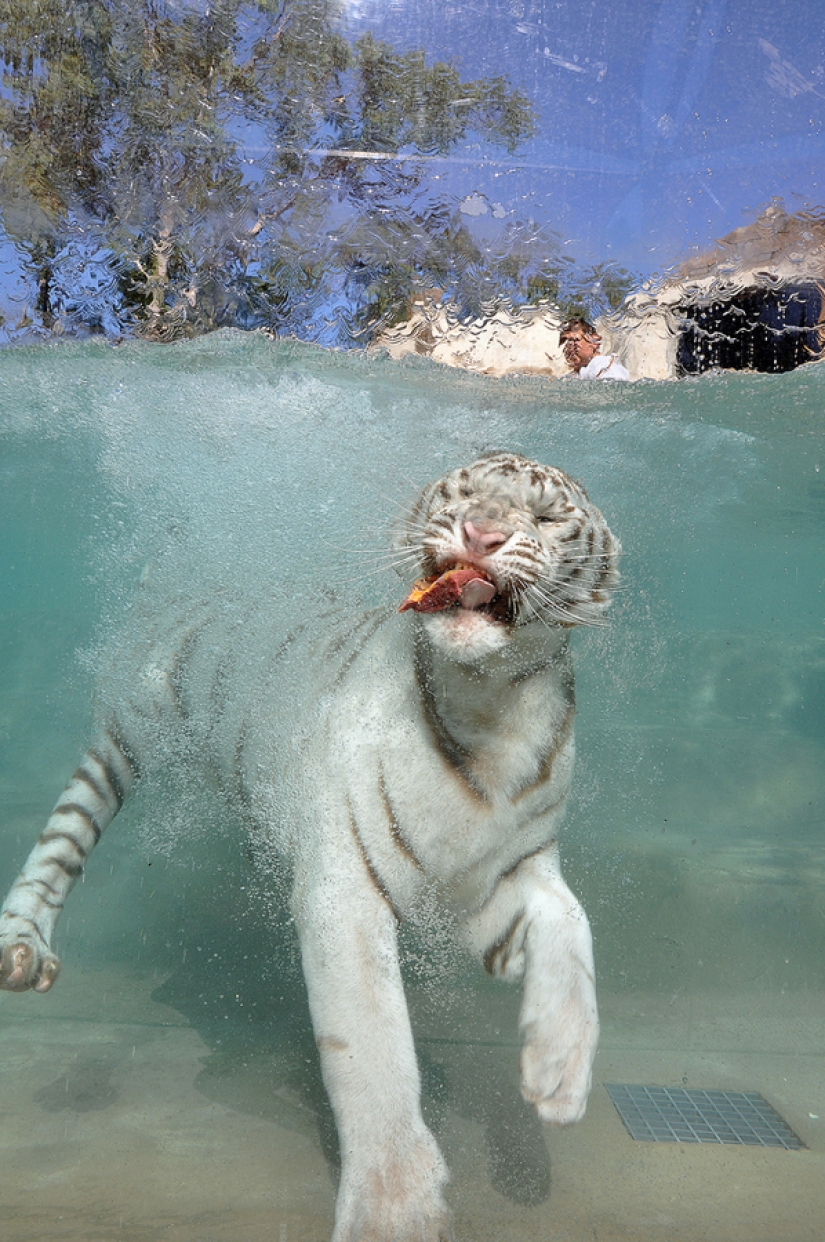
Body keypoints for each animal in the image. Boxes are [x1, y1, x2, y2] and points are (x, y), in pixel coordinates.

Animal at [0, 450, 620, 1242]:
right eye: (461, 495)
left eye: (544, 517)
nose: (480, 534)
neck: (492, 707)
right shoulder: (344, 890)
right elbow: (373, 1049)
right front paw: (394, 1208)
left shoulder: (503, 876)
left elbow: (572, 927)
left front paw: (557, 1078)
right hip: (127, 735)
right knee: (63, 837)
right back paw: (22, 948)